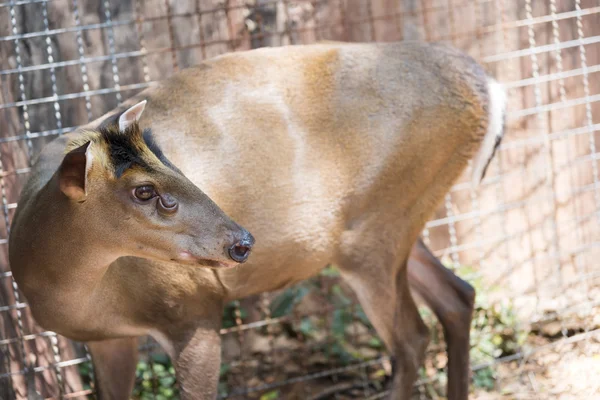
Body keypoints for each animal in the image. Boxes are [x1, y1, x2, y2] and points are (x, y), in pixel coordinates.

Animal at [9, 41, 506, 400]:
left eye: (173, 165)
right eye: (144, 190)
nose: (242, 241)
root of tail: (487, 85)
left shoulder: (195, 308)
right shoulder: (107, 340)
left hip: (376, 230)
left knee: (411, 337)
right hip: (398, 219)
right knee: (457, 295)